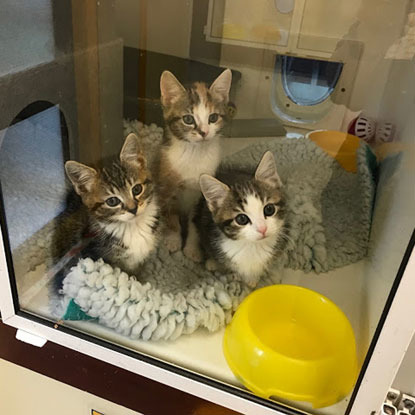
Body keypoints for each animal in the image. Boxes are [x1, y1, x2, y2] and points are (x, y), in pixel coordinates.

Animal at [157, 69, 232, 262]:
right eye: (188, 119)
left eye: (213, 117)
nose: (204, 132)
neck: (194, 154)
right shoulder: (167, 188)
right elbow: (171, 217)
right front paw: (173, 240)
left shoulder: (202, 197)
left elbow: (194, 224)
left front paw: (192, 249)